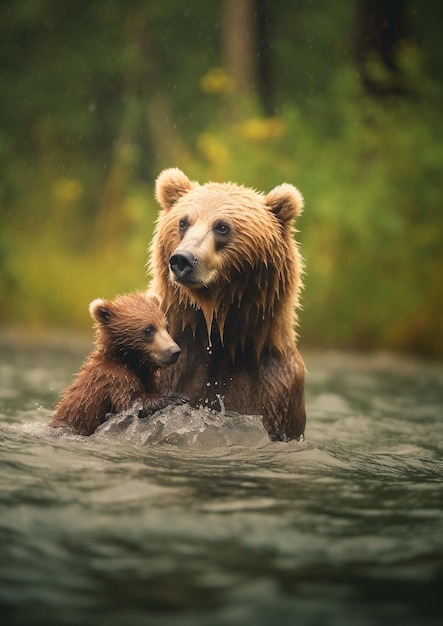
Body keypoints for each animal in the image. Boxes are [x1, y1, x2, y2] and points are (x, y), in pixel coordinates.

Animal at [49, 292, 188, 434]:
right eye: (149, 329)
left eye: (166, 327)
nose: (174, 351)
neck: (128, 360)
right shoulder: (113, 378)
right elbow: (130, 402)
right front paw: (176, 397)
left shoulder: (147, 378)